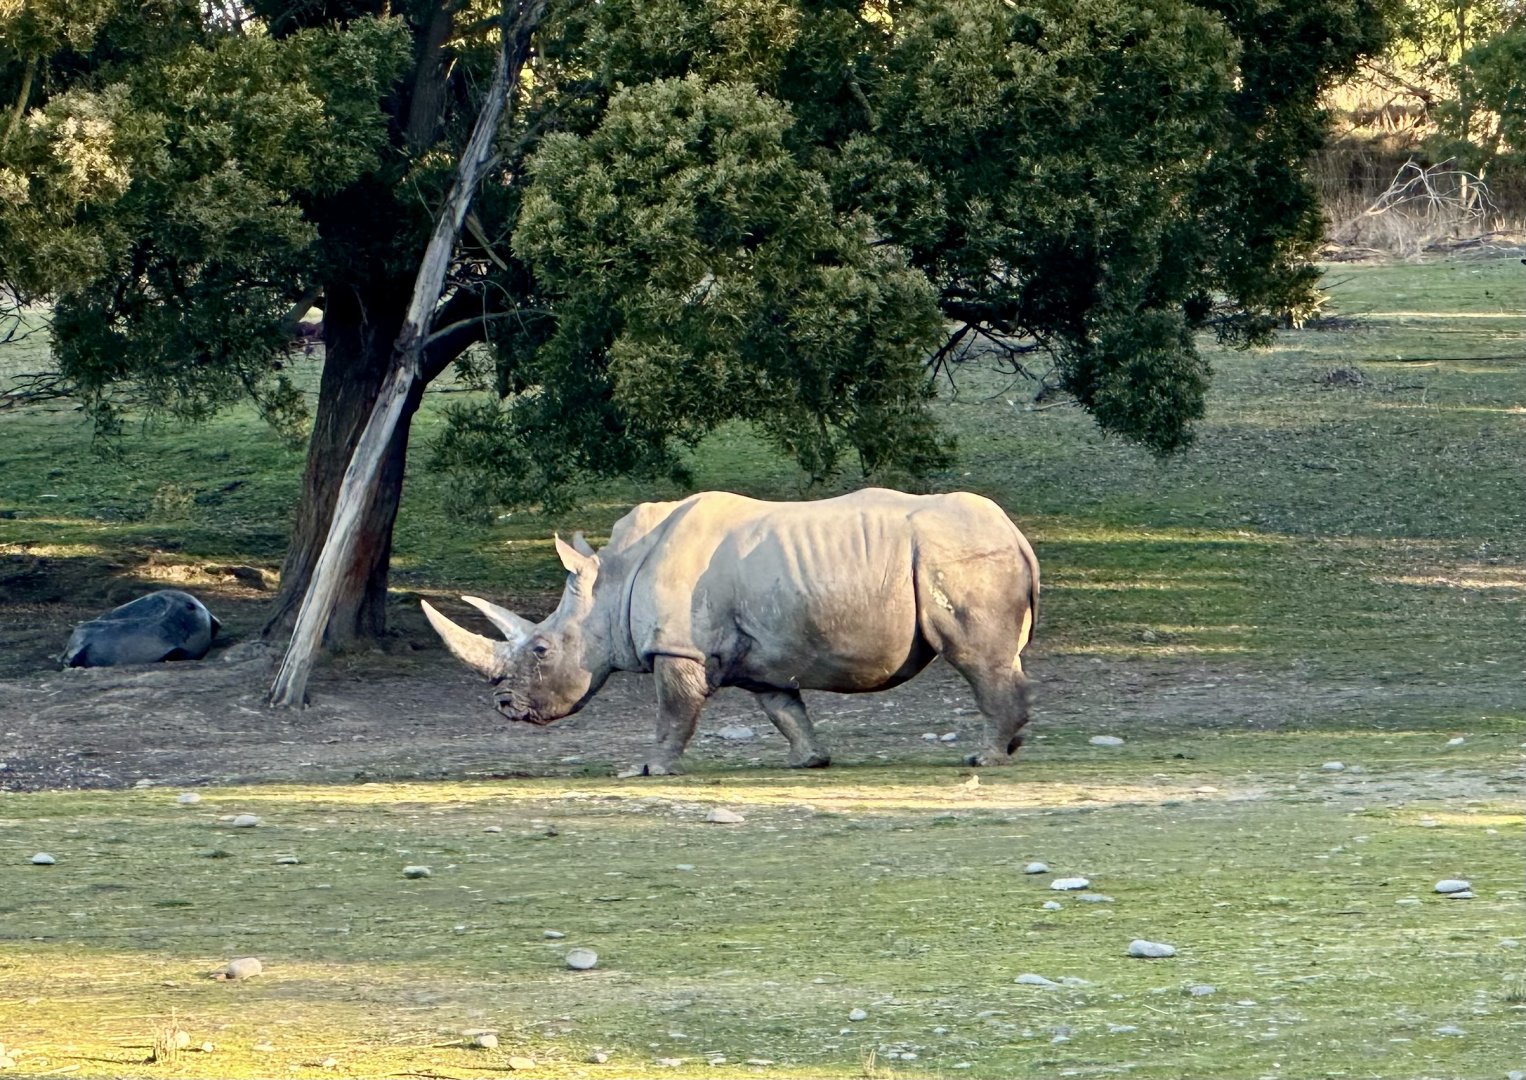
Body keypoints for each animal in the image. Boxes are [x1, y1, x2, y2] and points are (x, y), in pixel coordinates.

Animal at [423, 489, 1039, 774]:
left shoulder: (678, 647)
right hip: (973, 553)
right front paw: (808, 761)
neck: (614, 582)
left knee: (975, 657)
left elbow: (673, 710)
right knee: (998, 657)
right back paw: (1009, 746)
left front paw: (651, 769)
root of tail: (1016, 532)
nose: (504, 705)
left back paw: (985, 759)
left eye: (542, 649)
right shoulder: (767, 655)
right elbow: (784, 708)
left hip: (961, 557)